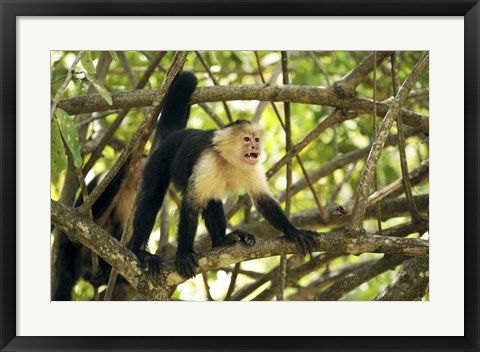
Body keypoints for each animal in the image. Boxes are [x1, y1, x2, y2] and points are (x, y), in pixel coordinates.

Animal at [53, 157, 144, 300]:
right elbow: (88, 214)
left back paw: (105, 276)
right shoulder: (108, 180)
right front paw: (124, 167)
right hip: (70, 250)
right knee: (67, 273)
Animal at [130, 71, 318, 280]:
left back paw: (221, 241)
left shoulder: (252, 168)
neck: (230, 162)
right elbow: (191, 204)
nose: (255, 146)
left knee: (212, 200)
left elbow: (263, 200)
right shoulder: (207, 161)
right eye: (246, 139)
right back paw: (139, 252)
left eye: (256, 139)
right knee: (152, 198)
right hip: (158, 160)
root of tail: (174, 136)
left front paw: (294, 232)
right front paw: (184, 253)